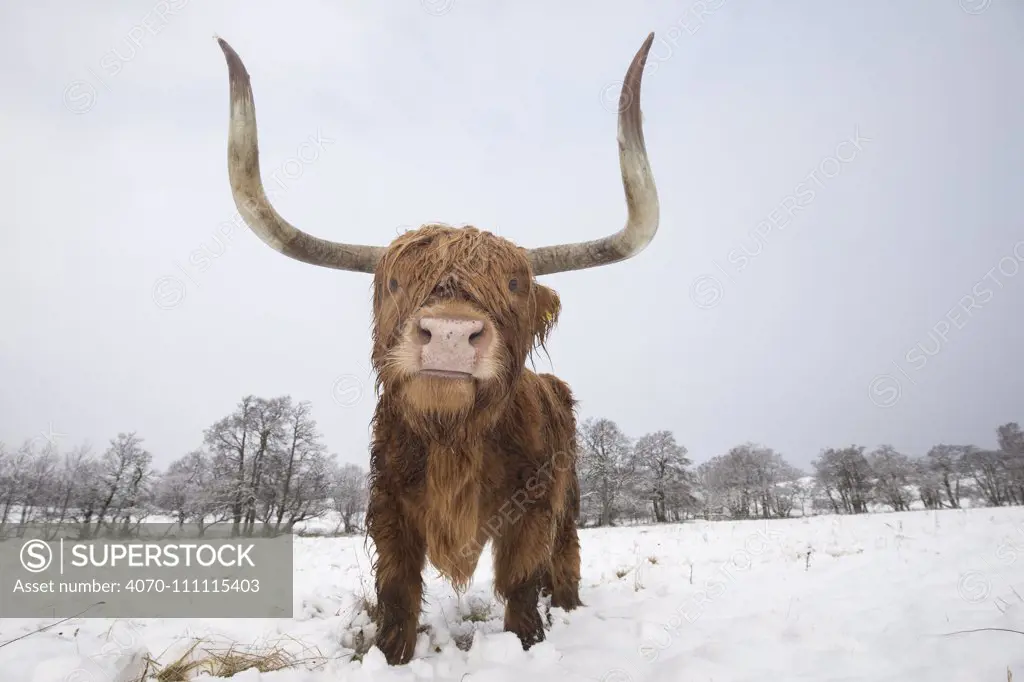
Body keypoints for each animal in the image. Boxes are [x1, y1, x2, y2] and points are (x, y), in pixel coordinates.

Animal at [217, 33, 663, 663]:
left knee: (567, 554)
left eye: (514, 285)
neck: (456, 442)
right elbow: (398, 591)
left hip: (570, 495)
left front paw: (528, 643)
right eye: (395, 283)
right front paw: (391, 656)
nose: (450, 335)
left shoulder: (534, 506)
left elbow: (520, 581)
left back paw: (569, 606)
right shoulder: (388, 510)